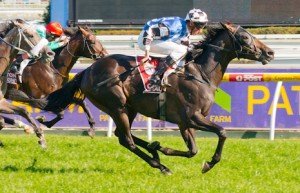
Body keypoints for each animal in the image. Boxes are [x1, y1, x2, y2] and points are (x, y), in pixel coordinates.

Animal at [37, 22, 274, 173]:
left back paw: (154, 149)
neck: (200, 74)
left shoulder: (184, 122)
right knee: (127, 140)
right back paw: (160, 165)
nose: (270, 53)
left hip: (130, 108)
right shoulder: (192, 117)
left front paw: (164, 149)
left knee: (124, 136)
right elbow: (222, 133)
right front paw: (208, 164)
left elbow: (193, 150)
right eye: (245, 37)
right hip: (117, 105)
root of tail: (87, 70)